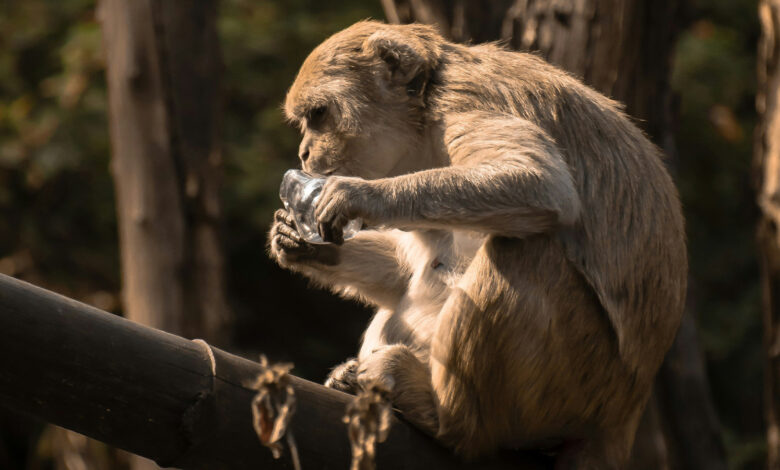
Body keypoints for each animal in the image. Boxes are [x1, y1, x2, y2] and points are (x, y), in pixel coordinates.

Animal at [270, 20, 688, 468]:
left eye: (318, 115)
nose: (304, 152)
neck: (425, 118)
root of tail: (625, 413)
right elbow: (403, 272)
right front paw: (301, 243)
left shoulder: (465, 103)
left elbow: (541, 184)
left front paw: (355, 195)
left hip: (578, 388)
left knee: (525, 251)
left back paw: (448, 421)